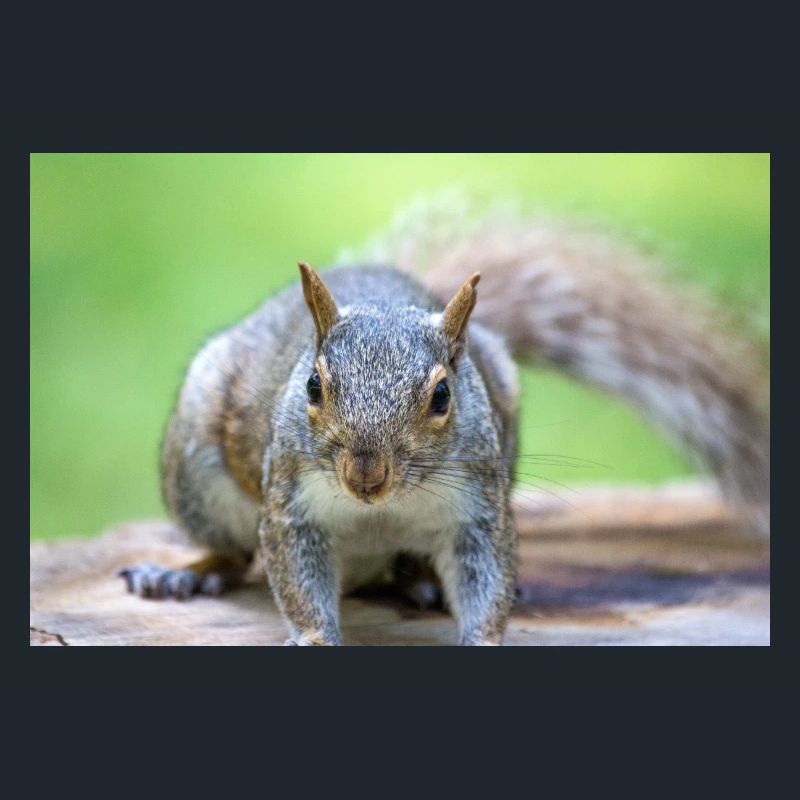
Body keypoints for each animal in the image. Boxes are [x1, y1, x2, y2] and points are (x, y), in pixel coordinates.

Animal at [118, 199, 770, 646]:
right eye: (312, 386)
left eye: (441, 396)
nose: (366, 476)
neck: (378, 511)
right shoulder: (290, 502)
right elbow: (295, 578)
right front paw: (314, 637)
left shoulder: (477, 510)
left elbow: (485, 576)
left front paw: (483, 632)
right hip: (198, 474)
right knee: (231, 552)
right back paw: (183, 575)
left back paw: (420, 580)